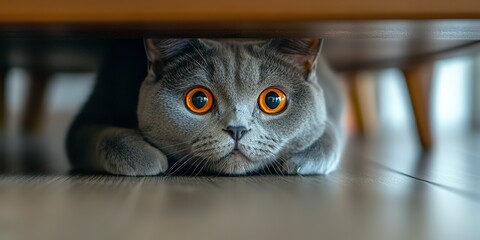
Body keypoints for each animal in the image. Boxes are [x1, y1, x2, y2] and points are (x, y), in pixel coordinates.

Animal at [67, 38, 344, 175]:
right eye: (199, 100)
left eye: (273, 101)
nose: (237, 129)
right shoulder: (93, 109)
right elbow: (100, 136)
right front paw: (146, 158)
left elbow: (329, 131)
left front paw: (300, 160)